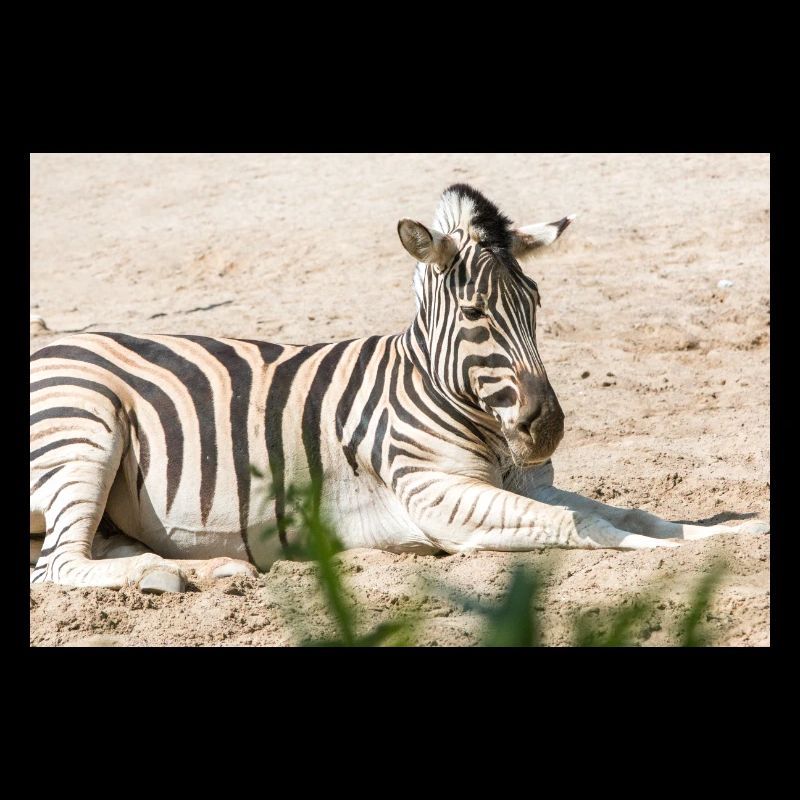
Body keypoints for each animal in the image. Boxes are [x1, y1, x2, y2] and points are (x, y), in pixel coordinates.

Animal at [30, 183, 770, 593]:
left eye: (536, 303)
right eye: (475, 314)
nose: (547, 429)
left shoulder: (523, 483)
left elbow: (637, 513)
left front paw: (730, 531)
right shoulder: (437, 496)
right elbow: (586, 526)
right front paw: (667, 555)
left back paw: (198, 571)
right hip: (85, 427)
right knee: (58, 566)